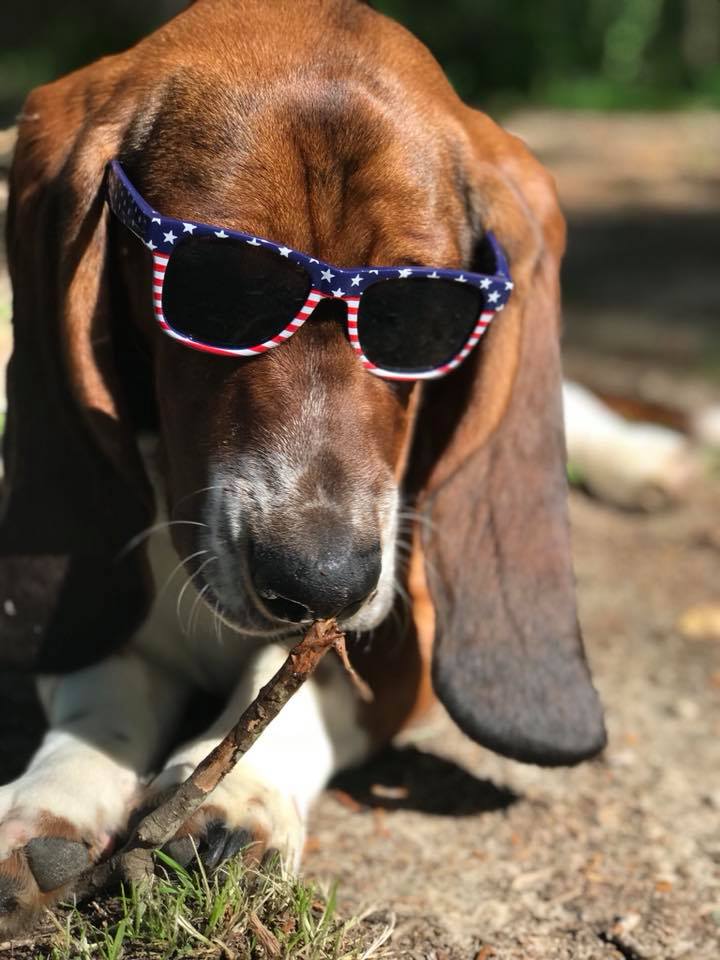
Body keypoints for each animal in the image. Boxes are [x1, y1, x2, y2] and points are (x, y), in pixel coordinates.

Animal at [0, 0, 605, 931]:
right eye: (224, 290)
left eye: (420, 317)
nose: (321, 582)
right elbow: (99, 688)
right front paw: (51, 799)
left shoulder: (401, 630)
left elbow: (302, 689)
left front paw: (237, 789)